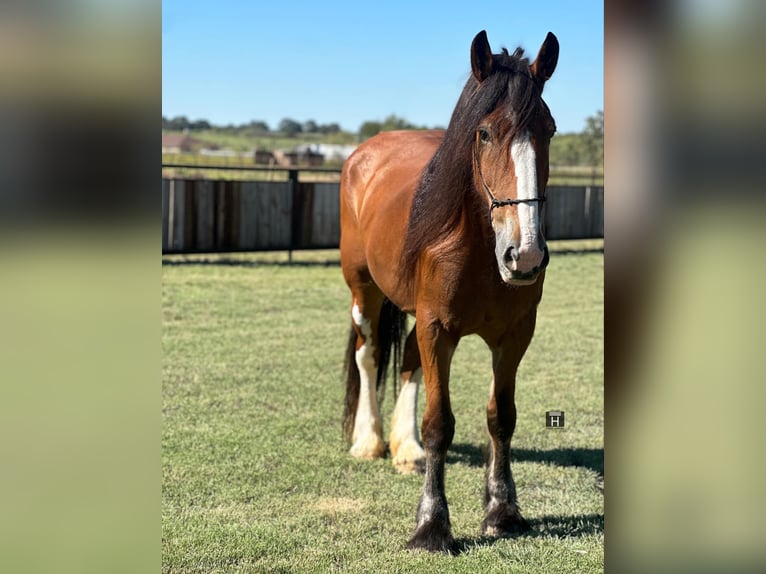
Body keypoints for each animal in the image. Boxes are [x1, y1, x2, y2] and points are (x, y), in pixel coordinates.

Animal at [339, 30, 559, 552]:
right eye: (484, 133)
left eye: (550, 130)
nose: (525, 255)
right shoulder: (439, 329)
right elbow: (440, 423)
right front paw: (432, 525)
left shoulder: (514, 336)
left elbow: (501, 417)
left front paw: (503, 511)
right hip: (363, 290)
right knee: (368, 354)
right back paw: (369, 441)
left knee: (407, 363)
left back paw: (406, 449)